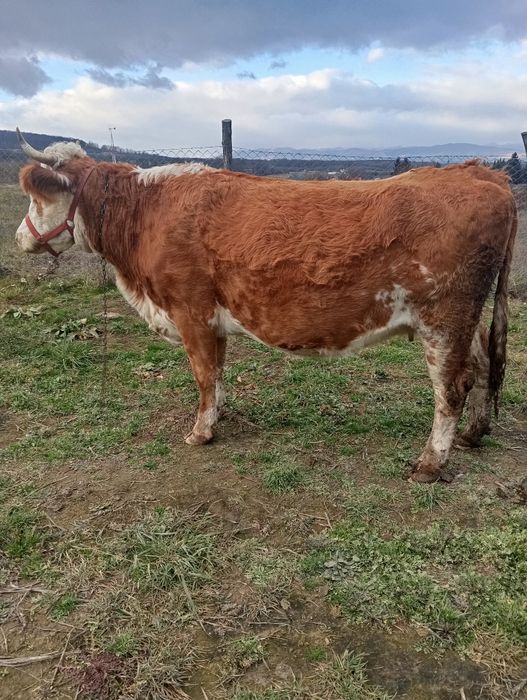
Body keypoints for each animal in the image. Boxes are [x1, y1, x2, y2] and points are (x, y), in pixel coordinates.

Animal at [14, 130, 517, 483]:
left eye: (38, 197)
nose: (19, 238)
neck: (147, 213)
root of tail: (479, 173)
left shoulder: (191, 310)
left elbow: (203, 374)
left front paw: (201, 432)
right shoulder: (211, 320)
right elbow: (217, 374)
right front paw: (218, 414)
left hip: (444, 318)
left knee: (451, 388)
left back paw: (430, 464)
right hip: (464, 320)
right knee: (480, 366)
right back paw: (473, 435)